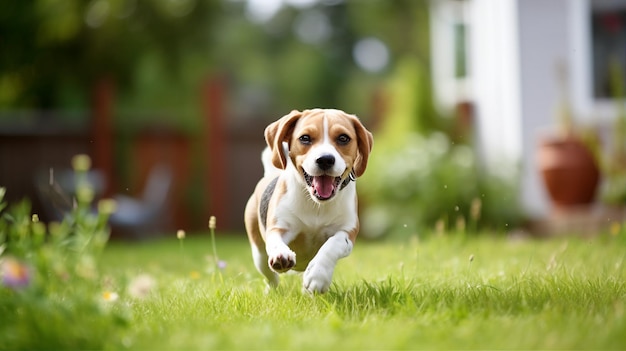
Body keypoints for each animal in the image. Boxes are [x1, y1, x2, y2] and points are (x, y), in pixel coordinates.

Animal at [243, 108, 370, 294]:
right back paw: (271, 290)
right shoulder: (279, 227)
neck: (316, 205)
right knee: (271, 277)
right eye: (305, 138)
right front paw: (281, 254)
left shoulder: (347, 232)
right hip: (259, 254)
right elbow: (275, 241)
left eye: (343, 138)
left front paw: (318, 276)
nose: (325, 159)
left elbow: (332, 245)